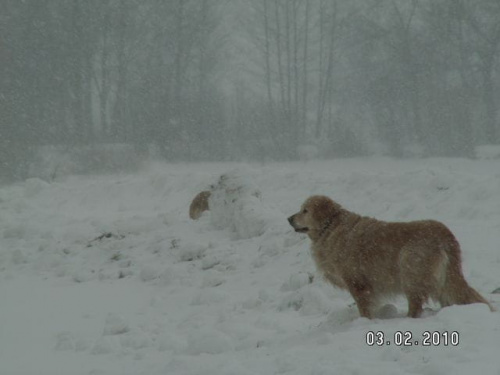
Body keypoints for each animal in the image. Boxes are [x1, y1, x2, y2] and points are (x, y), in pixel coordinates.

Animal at [288, 195, 494, 318]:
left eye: (305, 210)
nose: (289, 218)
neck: (330, 227)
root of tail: (444, 234)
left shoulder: (357, 283)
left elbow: (364, 307)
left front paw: (366, 321)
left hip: (410, 270)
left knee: (416, 303)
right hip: (444, 280)